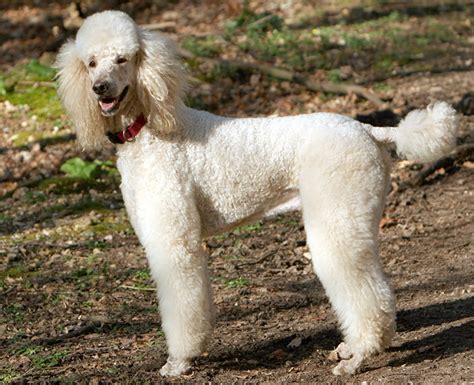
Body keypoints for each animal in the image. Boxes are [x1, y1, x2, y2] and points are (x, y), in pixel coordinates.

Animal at [53, 10, 458, 376]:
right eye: (91, 63)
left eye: (123, 59)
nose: (100, 87)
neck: (151, 129)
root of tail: (371, 131)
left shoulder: (174, 243)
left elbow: (181, 303)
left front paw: (179, 361)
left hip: (337, 217)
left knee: (365, 295)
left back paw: (358, 355)